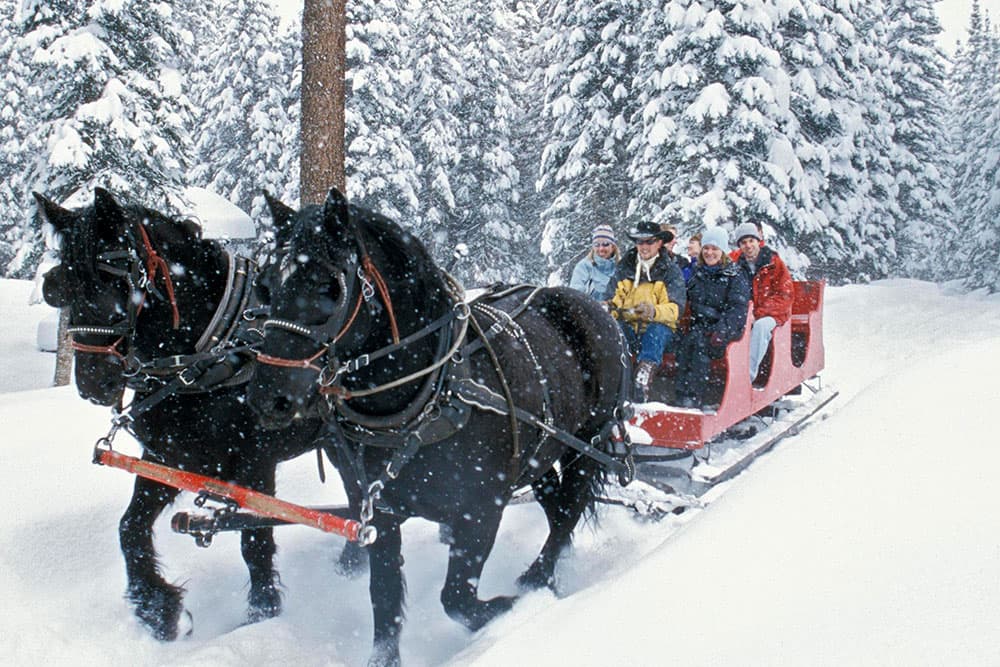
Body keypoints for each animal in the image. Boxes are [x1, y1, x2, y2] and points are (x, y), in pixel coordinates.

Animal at [36, 188, 363, 640]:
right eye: (61, 286)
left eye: (115, 279)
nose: (92, 383)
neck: (212, 353)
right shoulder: (169, 459)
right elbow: (130, 527)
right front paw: (160, 610)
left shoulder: (255, 465)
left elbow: (255, 542)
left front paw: (261, 617)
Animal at [247, 187, 632, 666]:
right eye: (265, 286)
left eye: (328, 286)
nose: (268, 398)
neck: (431, 396)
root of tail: (593, 308)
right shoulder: (380, 512)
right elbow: (384, 598)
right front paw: (384, 658)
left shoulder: (482, 509)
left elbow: (458, 599)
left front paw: (507, 609)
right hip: (540, 451)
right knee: (556, 502)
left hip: (586, 441)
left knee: (568, 512)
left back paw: (536, 581)